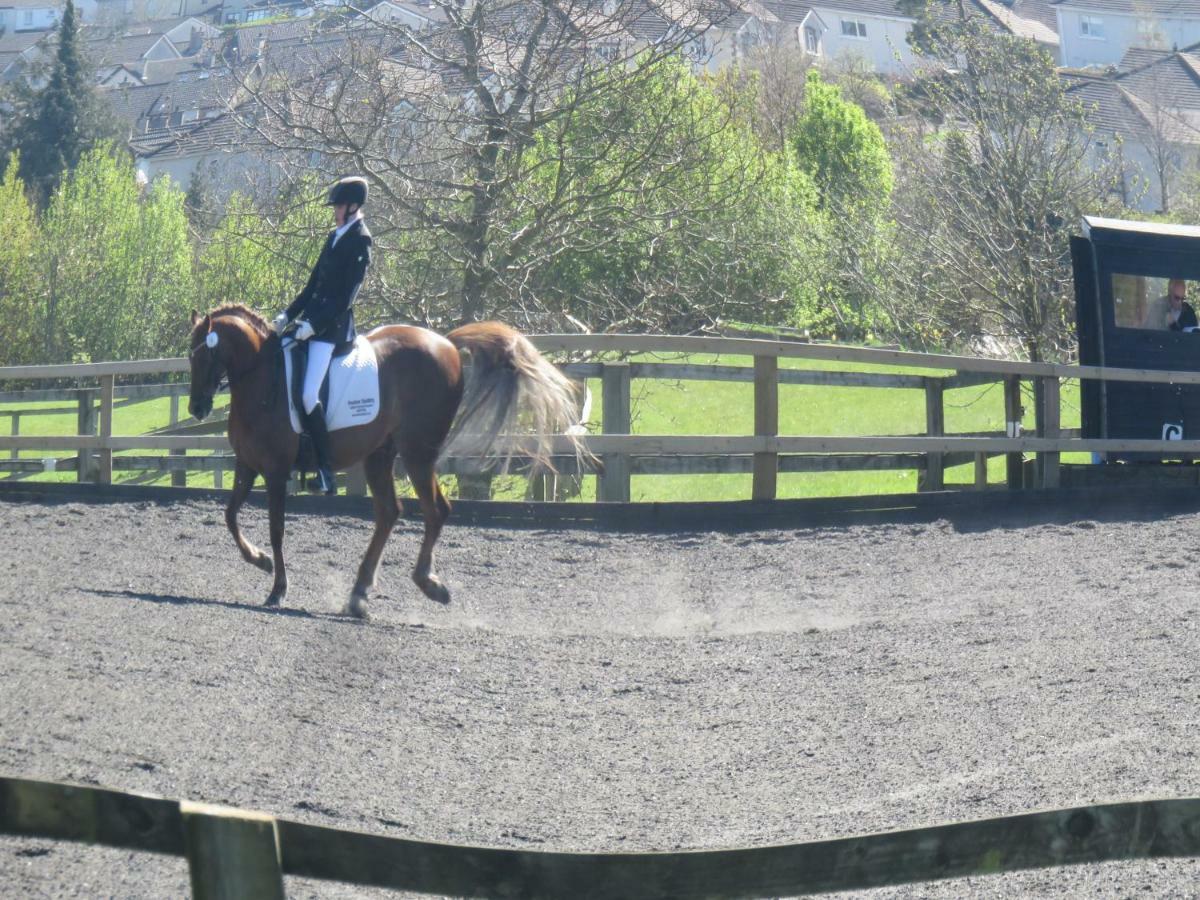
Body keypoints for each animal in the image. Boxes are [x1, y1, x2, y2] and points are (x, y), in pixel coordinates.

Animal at [184, 309, 583, 619]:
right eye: (189, 356)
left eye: (203, 356)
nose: (197, 408)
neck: (263, 382)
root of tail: (447, 344)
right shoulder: (246, 466)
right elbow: (230, 516)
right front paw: (260, 560)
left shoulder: (277, 472)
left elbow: (277, 530)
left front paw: (277, 588)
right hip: (380, 455)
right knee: (390, 512)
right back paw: (359, 595)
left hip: (418, 451)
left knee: (436, 510)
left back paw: (429, 584)